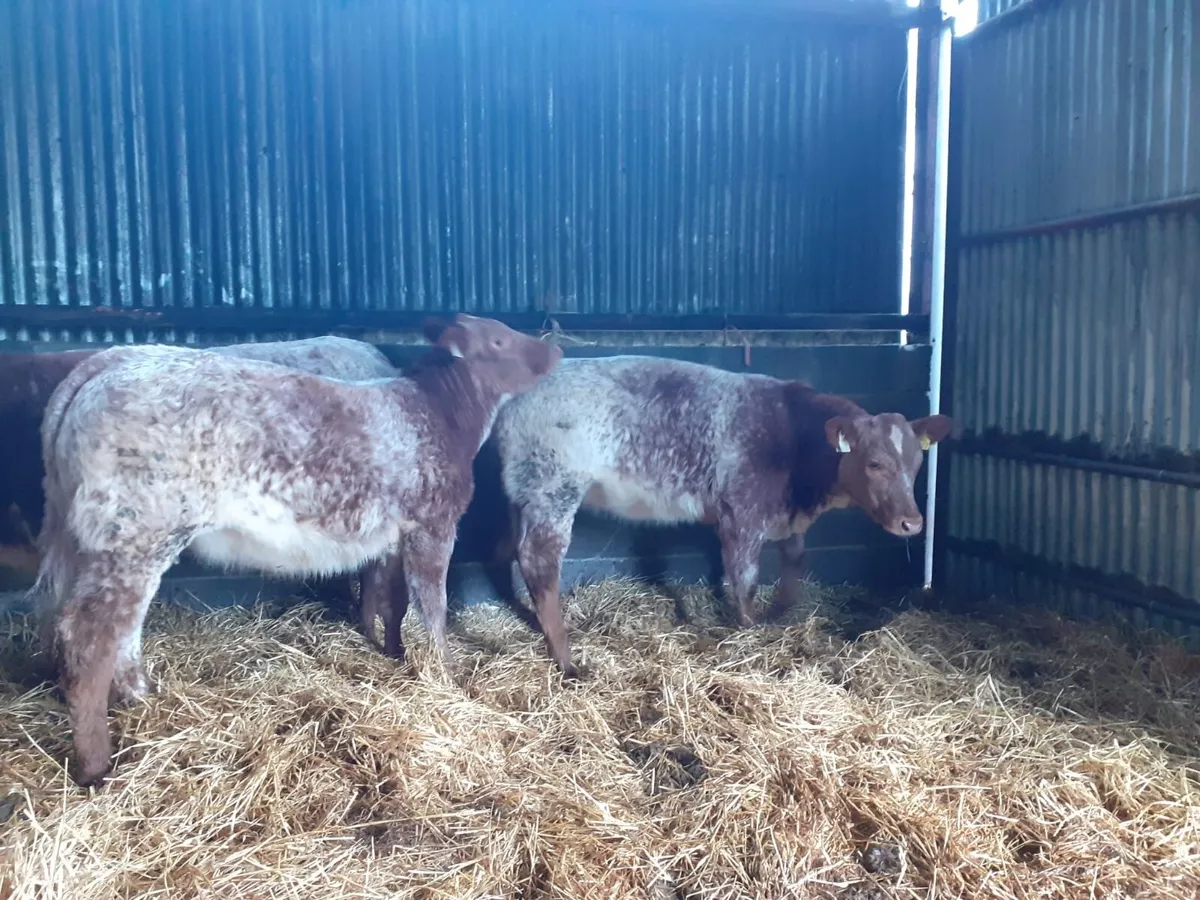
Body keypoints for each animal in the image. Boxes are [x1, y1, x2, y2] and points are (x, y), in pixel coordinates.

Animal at [34, 313, 562, 786]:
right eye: (499, 339)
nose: (553, 348)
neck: (438, 416)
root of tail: (111, 361)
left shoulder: (389, 536)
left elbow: (392, 601)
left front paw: (393, 654)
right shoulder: (431, 525)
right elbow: (432, 606)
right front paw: (446, 674)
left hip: (105, 541)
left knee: (112, 625)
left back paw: (143, 697)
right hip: (136, 532)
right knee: (90, 635)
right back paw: (97, 766)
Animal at [384, 355, 951, 677]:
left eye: (916, 463)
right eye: (874, 462)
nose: (913, 524)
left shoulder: (785, 520)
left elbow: (793, 569)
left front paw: (779, 615)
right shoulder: (741, 513)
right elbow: (744, 579)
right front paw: (748, 631)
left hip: (523, 492)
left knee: (504, 553)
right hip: (554, 488)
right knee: (539, 562)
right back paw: (566, 659)